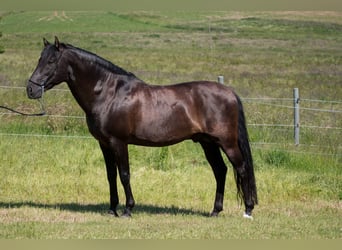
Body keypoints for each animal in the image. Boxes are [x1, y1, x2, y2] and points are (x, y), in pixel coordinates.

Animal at [26, 36, 258, 218]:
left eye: (52, 60)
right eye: (39, 59)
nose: (31, 89)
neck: (109, 93)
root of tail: (229, 92)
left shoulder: (118, 142)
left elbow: (124, 174)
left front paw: (128, 209)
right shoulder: (104, 144)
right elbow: (111, 176)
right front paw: (112, 209)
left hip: (226, 143)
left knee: (242, 168)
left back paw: (247, 210)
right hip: (207, 143)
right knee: (220, 171)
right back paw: (215, 211)